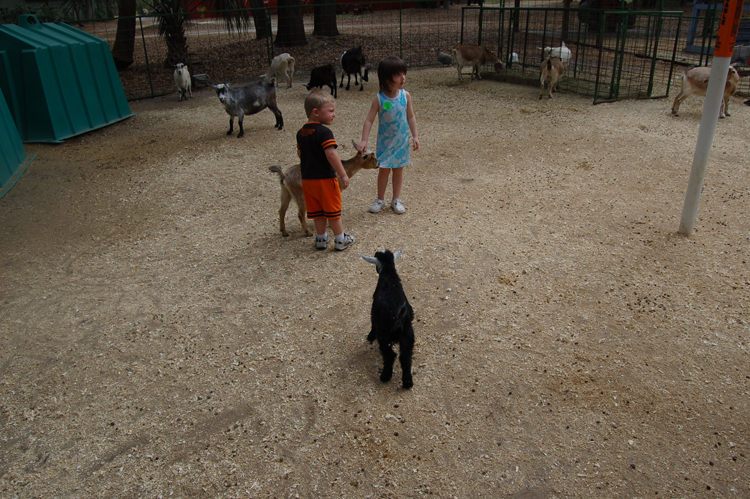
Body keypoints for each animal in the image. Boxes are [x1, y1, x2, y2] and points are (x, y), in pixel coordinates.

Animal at [364, 250, 418, 390]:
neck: (389, 276)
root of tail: (398, 317)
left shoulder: (374, 315)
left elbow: (372, 324)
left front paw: (370, 336)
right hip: (408, 334)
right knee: (405, 356)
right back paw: (407, 382)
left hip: (384, 336)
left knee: (390, 355)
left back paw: (385, 376)